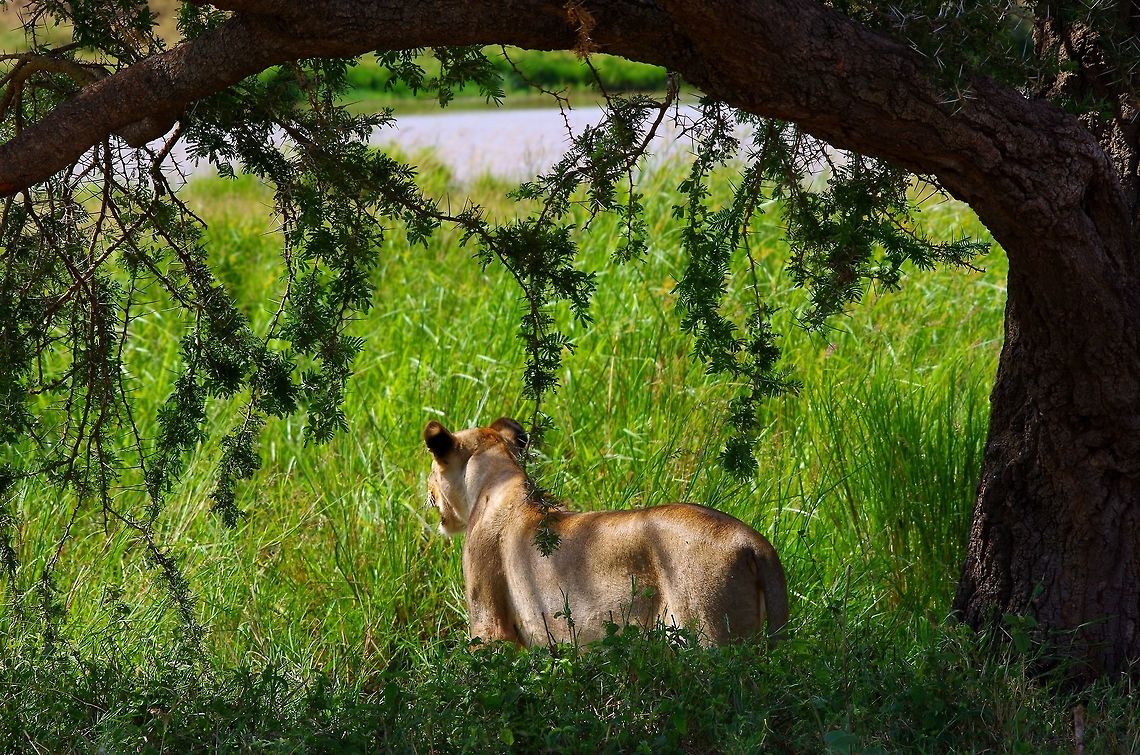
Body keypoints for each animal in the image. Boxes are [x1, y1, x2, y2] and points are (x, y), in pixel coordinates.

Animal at [424, 416, 789, 648]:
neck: (497, 479)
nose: (426, 488)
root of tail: (754, 542)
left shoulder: (490, 626)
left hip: (712, 636)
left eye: (432, 469)